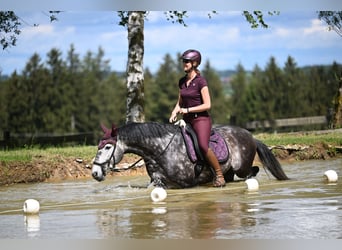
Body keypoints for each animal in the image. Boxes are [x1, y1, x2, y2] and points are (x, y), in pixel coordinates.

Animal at [91, 122, 288, 188]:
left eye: (107, 147)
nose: (95, 173)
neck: (159, 149)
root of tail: (251, 136)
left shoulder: (186, 183)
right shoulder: (157, 181)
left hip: (242, 167)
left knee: (252, 171)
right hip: (230, 170)